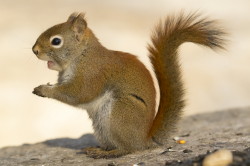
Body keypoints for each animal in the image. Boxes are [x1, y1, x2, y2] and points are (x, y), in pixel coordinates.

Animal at [31, 11, 227, 158]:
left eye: (56, 41)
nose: (35, 50)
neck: (82, 54)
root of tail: (143, 139)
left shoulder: (92, 74)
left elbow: (78, 94)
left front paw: (44, 90)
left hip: (120, 113)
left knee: (128, 149)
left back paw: (108, 153)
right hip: (102, 125)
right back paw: (99, 148)